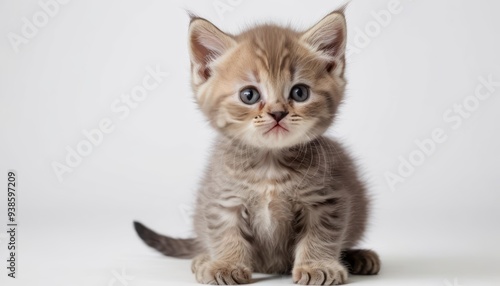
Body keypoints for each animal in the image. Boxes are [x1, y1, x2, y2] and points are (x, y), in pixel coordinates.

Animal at [133, 7, 378, 284]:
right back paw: (204, 258)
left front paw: (317, 266)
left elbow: (321, 235)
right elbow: (226, 233)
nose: (278, 113)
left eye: (300, 93)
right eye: (249, 95)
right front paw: (226, 264)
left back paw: (359, 257)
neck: (269, 165)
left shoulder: (325, 200)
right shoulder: (224, 199)